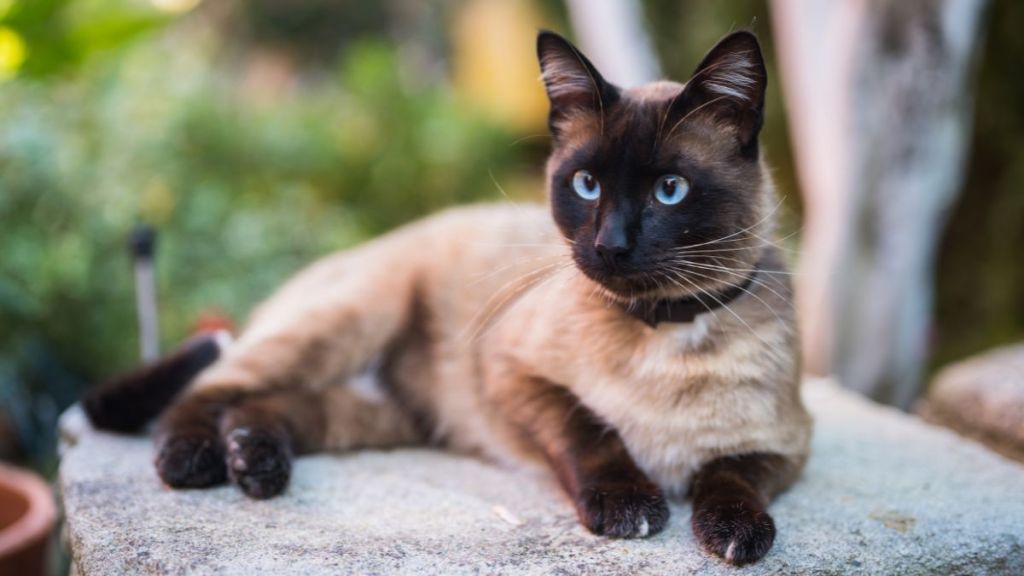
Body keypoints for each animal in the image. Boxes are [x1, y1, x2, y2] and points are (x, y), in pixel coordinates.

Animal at [86, 29, 806, 561]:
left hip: (384, 415)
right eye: (587, 185)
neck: (664, 329)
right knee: (208, 389)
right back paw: (195, 460)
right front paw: (629, 507)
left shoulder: (785, 446)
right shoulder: (511, 372)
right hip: (353, 320)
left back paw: (254, 460)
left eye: (669, 191)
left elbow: (731, 474)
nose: (611, 246)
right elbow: (592, 429)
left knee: (265, 405)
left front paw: (736, 535)